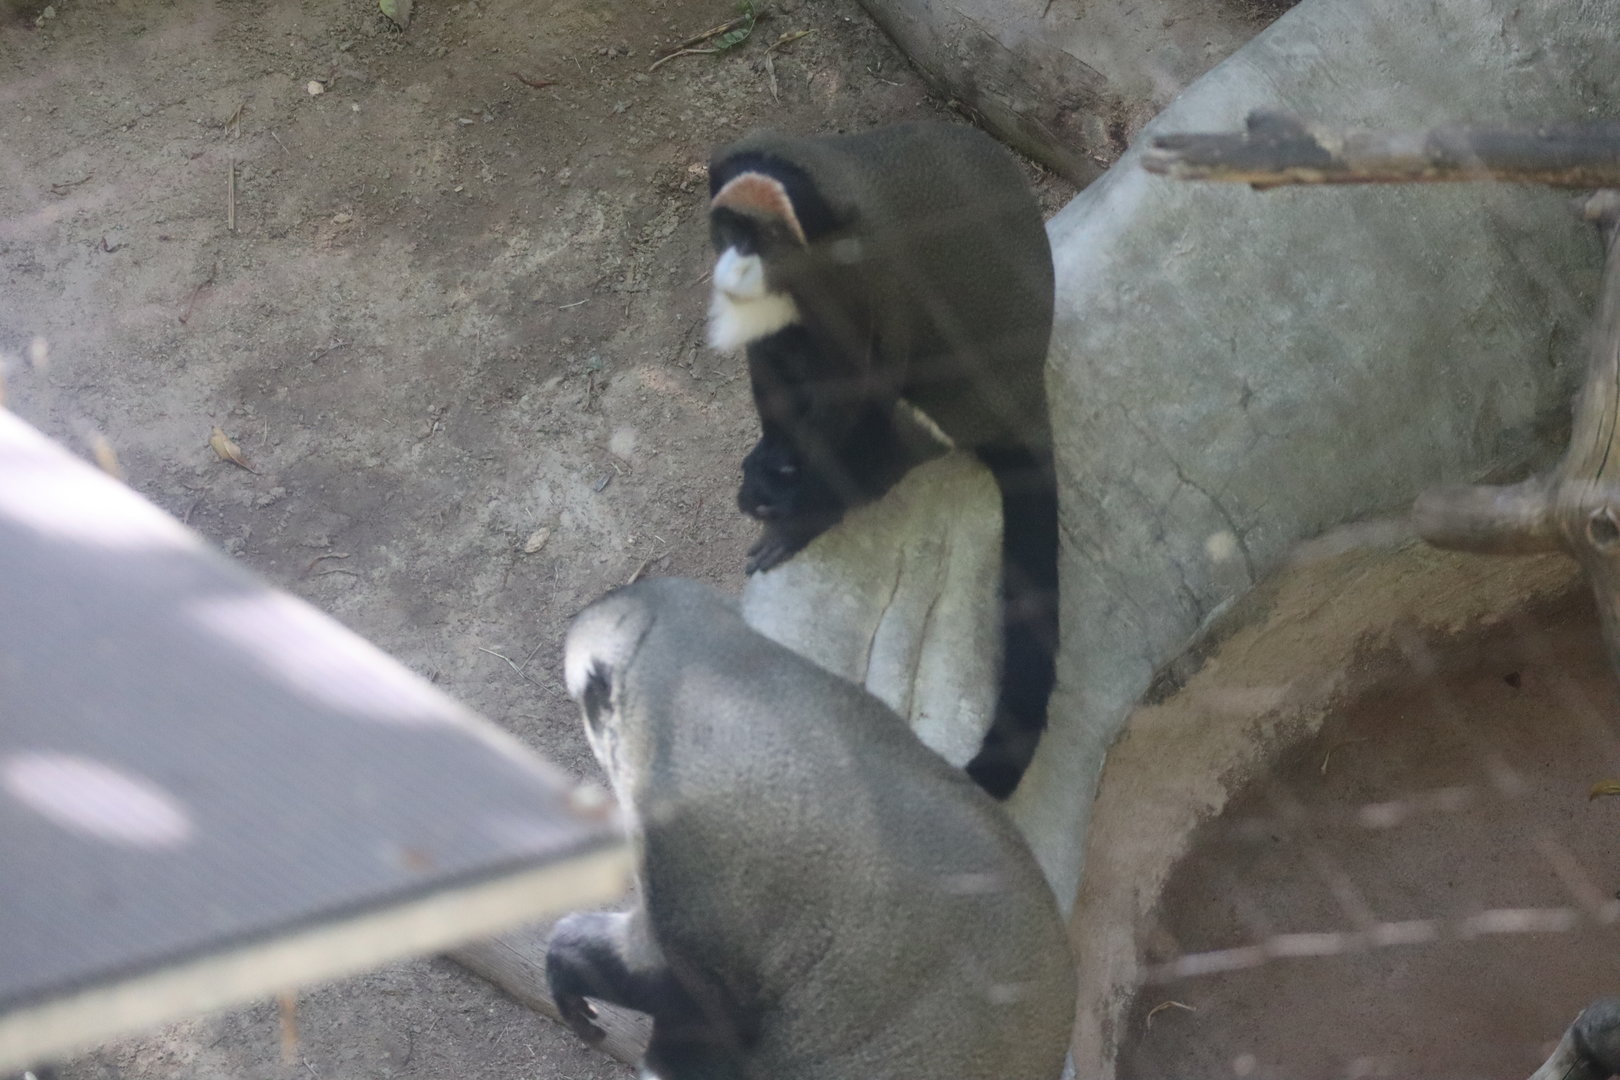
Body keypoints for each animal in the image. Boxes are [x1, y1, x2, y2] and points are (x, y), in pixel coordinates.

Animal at [705, 121, 1059, 798]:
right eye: (731, 230)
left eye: (760, 240)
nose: (733, 265)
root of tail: (1026, 405)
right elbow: (776, 354)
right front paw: (772, 466)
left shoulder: (875, 280)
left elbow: (866, 385)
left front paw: (798, 511)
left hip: (953, 412)